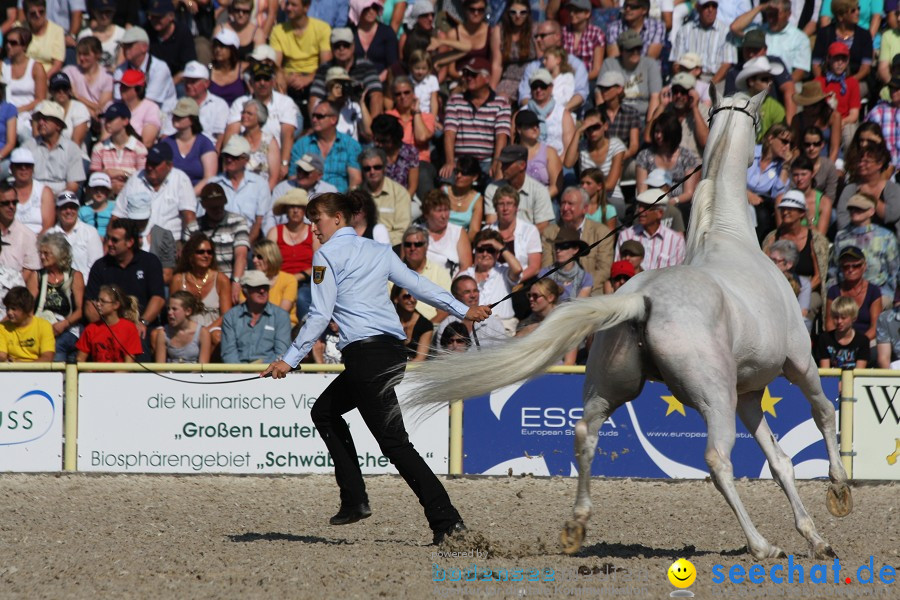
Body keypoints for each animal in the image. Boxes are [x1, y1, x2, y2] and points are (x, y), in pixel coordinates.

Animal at [400, 91, 852, 560]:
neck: (730, 236)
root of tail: (642, 299)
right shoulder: (798, 364)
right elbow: (823, 413)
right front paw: (838, 494)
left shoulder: (749, 394)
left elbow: (780, 462)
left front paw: (815, 537)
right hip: (715, 399)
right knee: (716, 460)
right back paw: (762, 546)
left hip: (615, 387)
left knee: (585, 433)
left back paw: (576, 527)